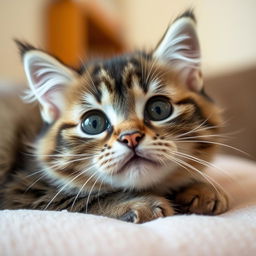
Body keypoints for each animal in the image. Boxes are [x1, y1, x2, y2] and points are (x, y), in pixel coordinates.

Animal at [0, 10, 228, 222]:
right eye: (93, 123)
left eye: (158, 109)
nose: (131, 137)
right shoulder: (21, 191)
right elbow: (82, 197)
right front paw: (139, 203)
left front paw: (202, 189)